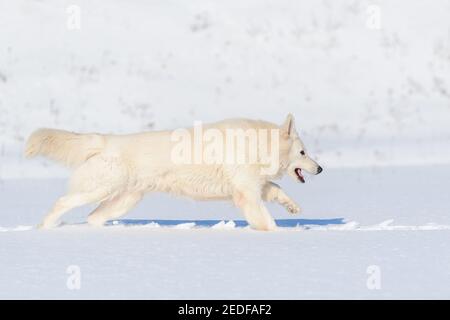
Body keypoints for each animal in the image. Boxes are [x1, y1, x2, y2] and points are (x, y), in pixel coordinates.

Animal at [24, 114, 322, 230]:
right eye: (303, 152)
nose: (320, 168)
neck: (258, 145)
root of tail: (105, 140)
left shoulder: (253, 185)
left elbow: (277, 190)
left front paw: (293, 208)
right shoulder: (246, 193)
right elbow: (266, 219)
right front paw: (280, 232)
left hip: (124, 200)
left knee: (93, 217)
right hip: (99, 189)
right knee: (63, 202)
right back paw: (45, 227)